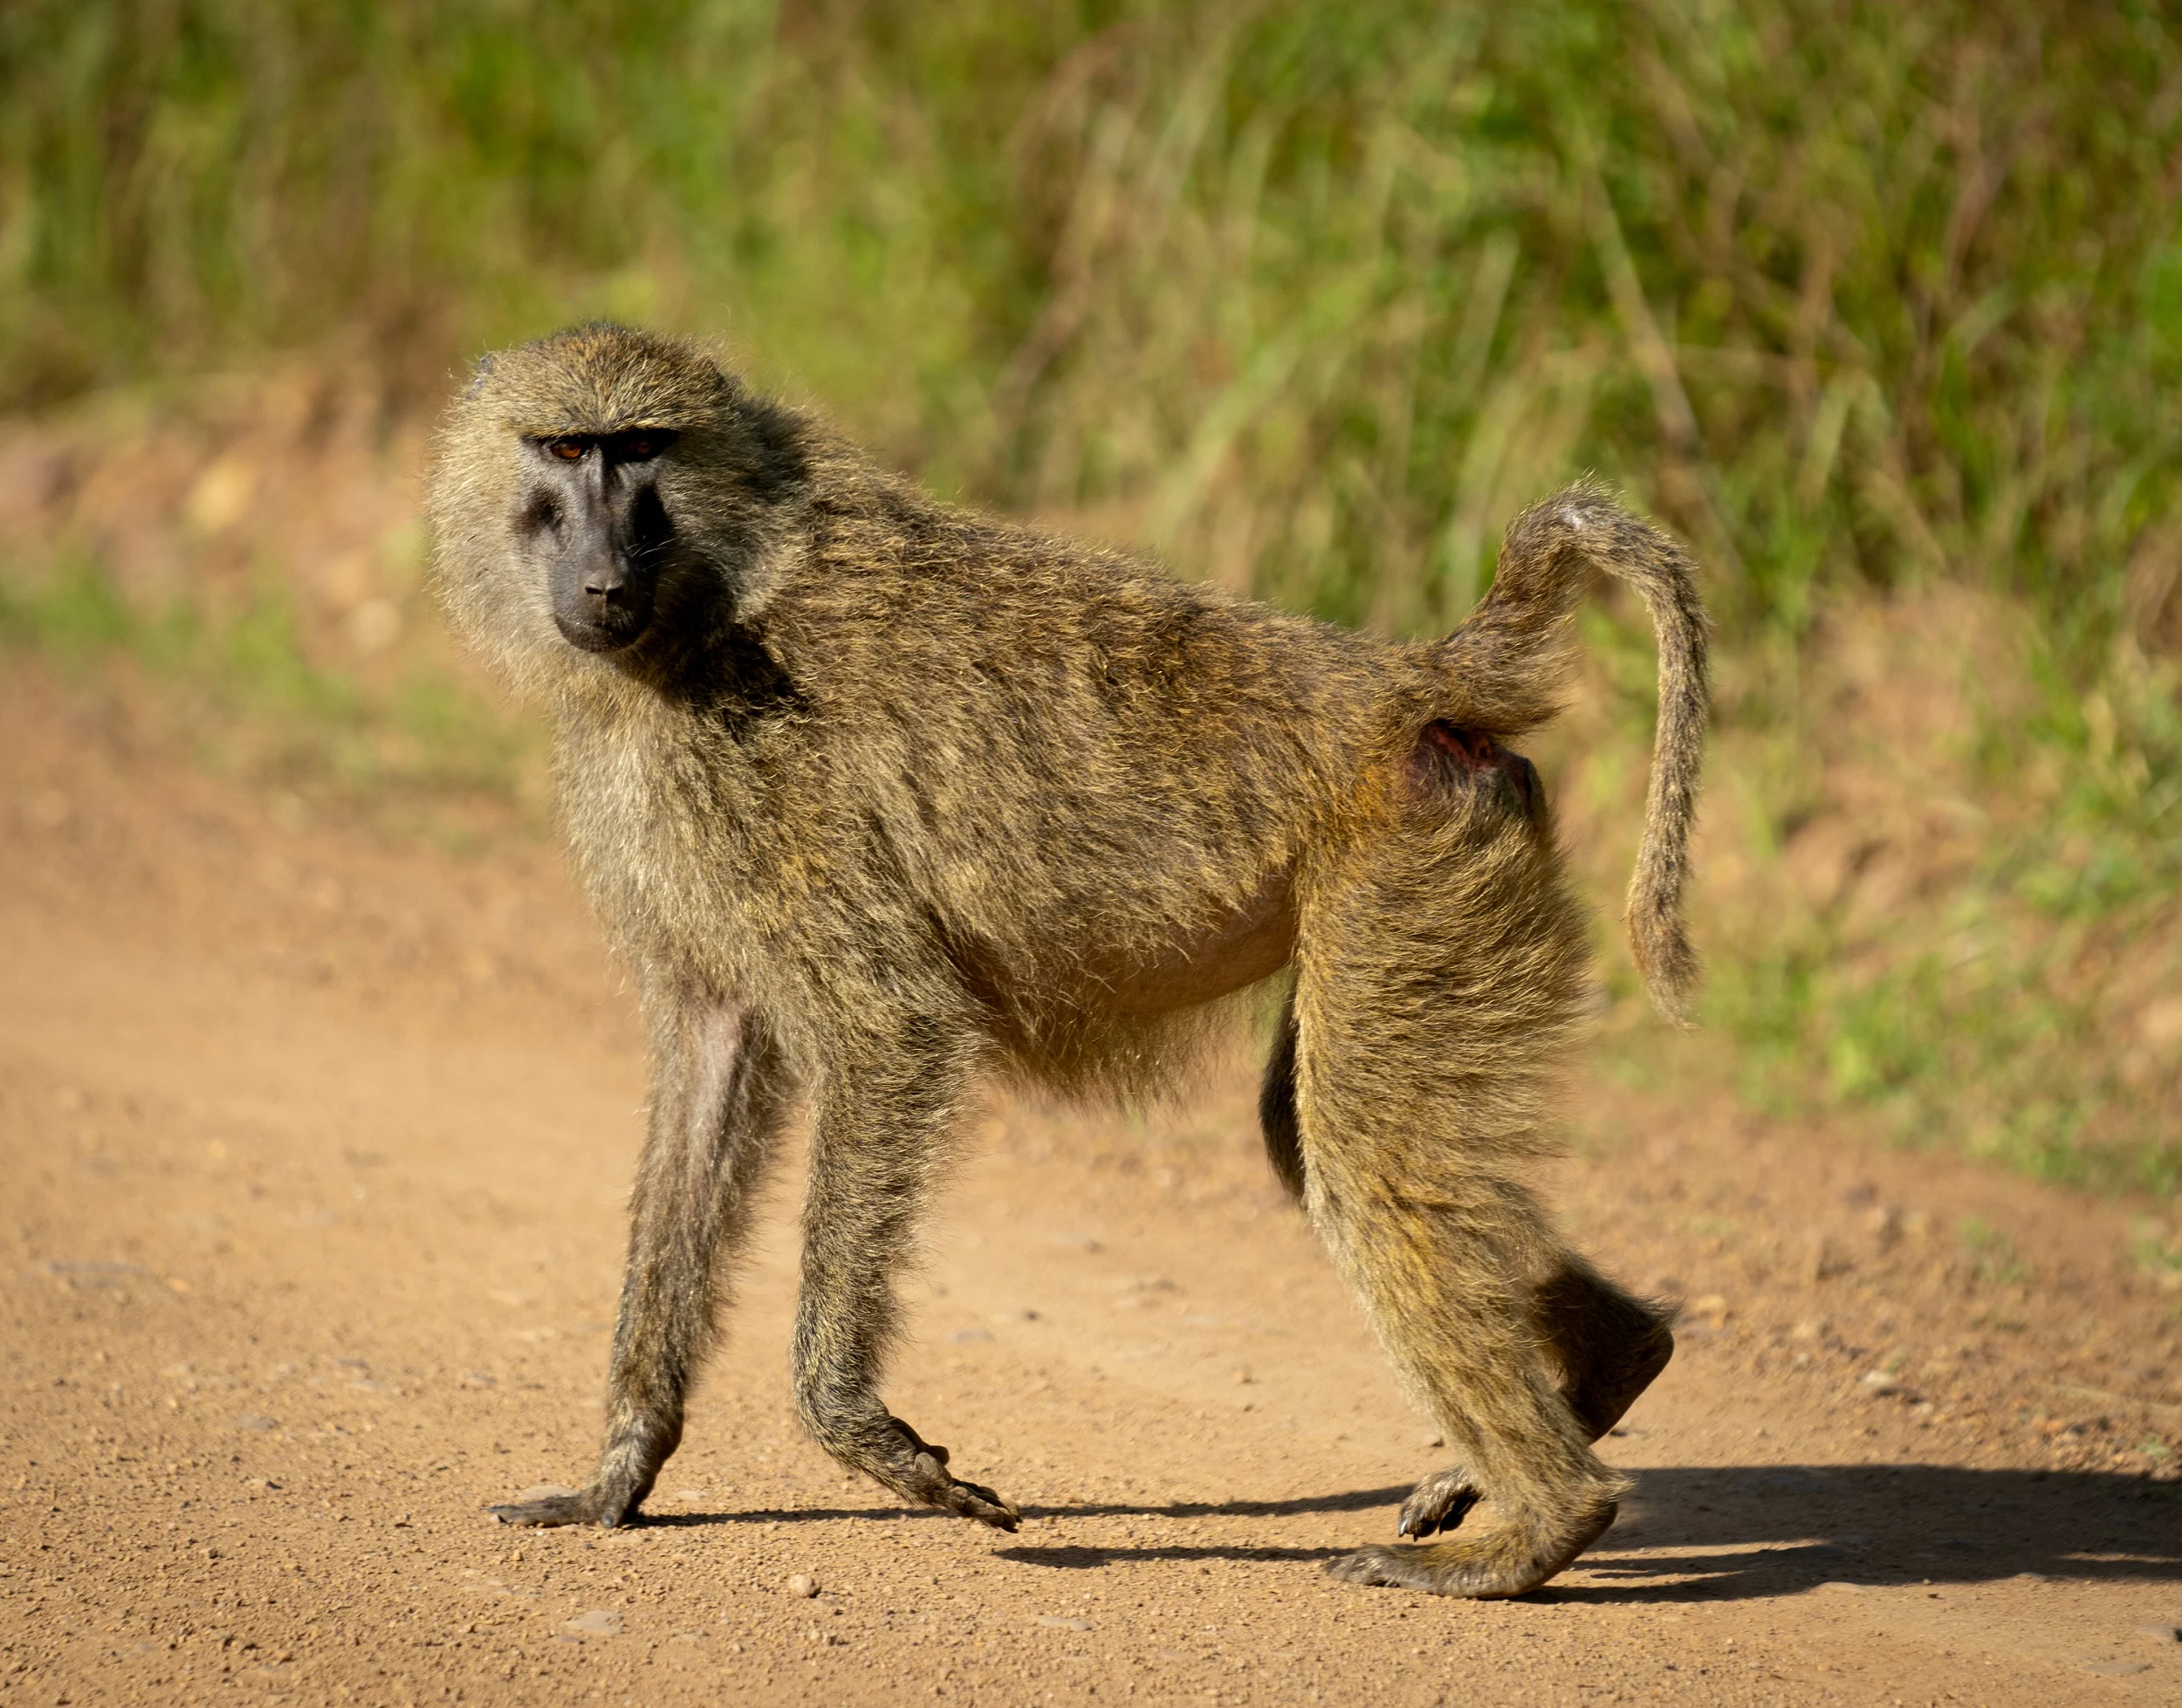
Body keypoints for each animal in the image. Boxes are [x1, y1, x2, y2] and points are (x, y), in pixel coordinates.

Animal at [426, 322, 1707, 1598]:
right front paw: (619, 1473)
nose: (601, 580)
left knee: (1362, 1162)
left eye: (641, 450)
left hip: (1411, 872)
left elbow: (891, 1026)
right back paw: (1613, 1369)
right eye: (564, 448)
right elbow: (706, 1074)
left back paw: (1542, 1522)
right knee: (1322, 1145)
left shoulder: (767, 798)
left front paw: (866, 1435)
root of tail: (1394, 681)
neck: (713, 595)